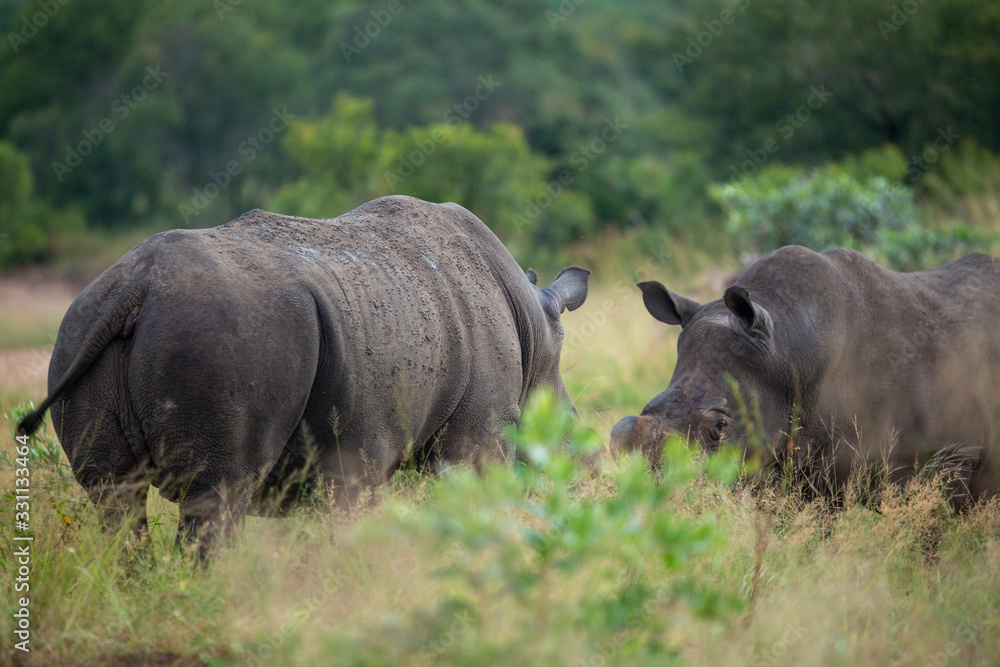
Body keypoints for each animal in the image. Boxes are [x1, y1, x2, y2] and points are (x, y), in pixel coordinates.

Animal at [17, 195, 590, 553]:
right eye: (564, 423)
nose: (581, 470)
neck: (536, 331)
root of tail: (135, 286)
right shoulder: (479, 435)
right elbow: (477, 497)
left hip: (79, 328)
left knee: (114, 499)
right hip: (224, 339)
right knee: (215, 497)